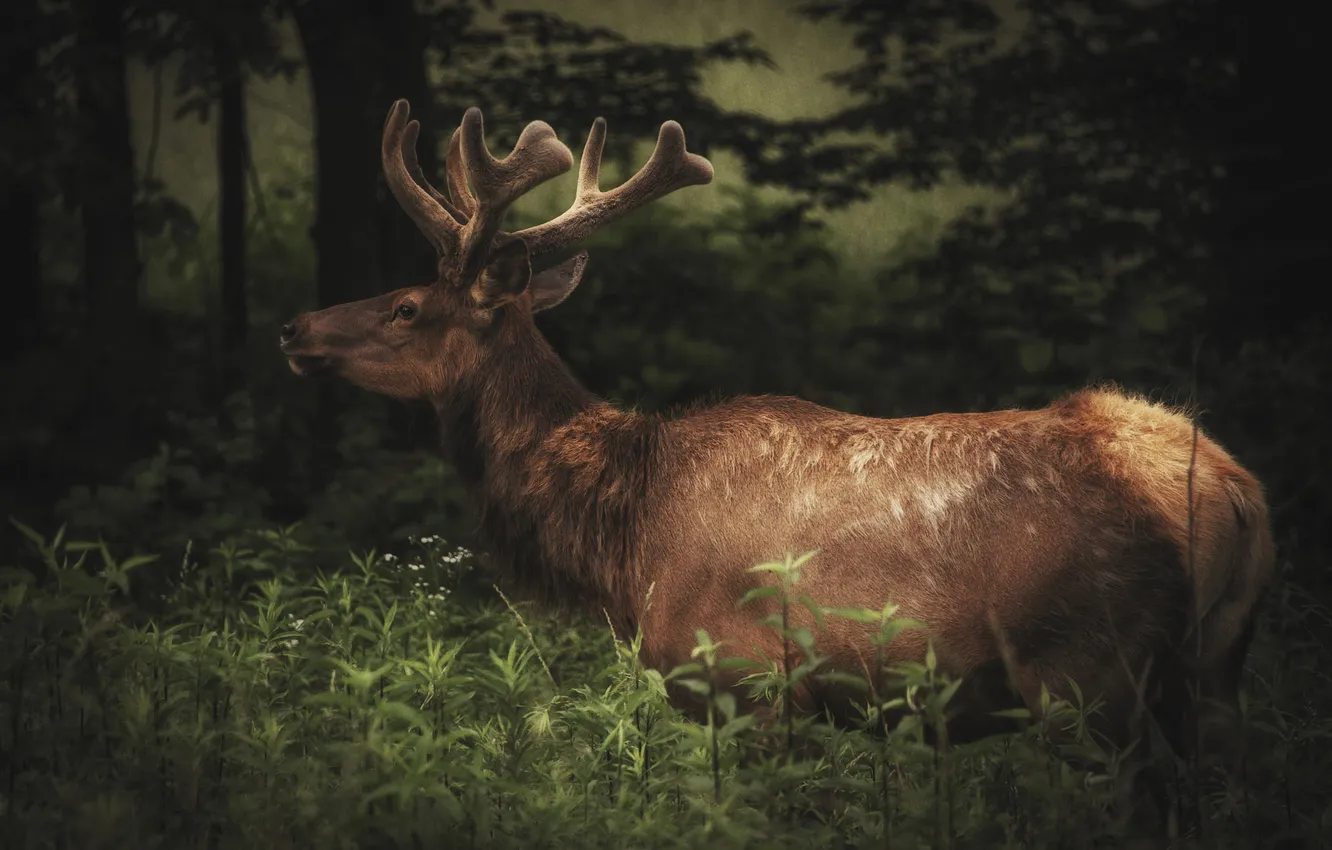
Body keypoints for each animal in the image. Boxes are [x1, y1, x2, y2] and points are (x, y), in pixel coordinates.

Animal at [279, 99, 1274, 779]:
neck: (623, 534)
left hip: (1086, 669)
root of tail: (1237, 491)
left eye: (408, 307)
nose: (295, 328)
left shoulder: (748, 682)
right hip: (1215, 669)